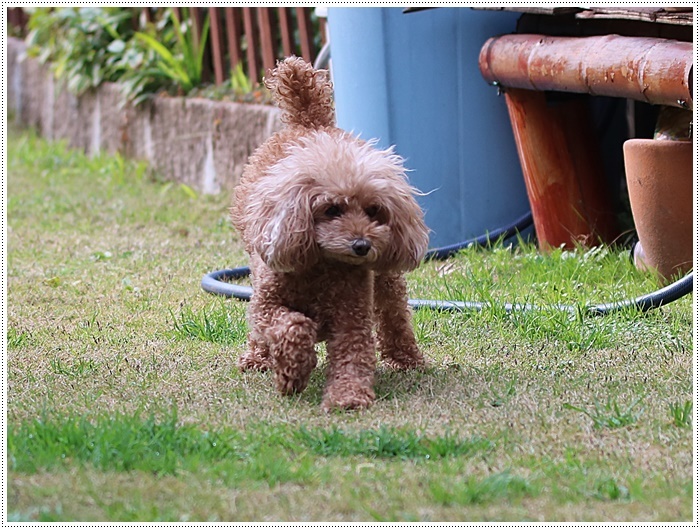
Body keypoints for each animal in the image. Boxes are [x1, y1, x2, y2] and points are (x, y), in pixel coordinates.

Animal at [231, 58, 426, 412]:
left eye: (374, 211)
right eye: (332, 209)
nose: (362, 245)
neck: (322, 265)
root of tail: (310, 124)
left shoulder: (351, 315)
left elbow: (353, 355)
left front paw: (347, 395)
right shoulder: (269, 304)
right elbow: (292, 326)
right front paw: (292, 373)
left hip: (386, 281)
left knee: (395, 315)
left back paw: (407, 358)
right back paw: (258, 358)